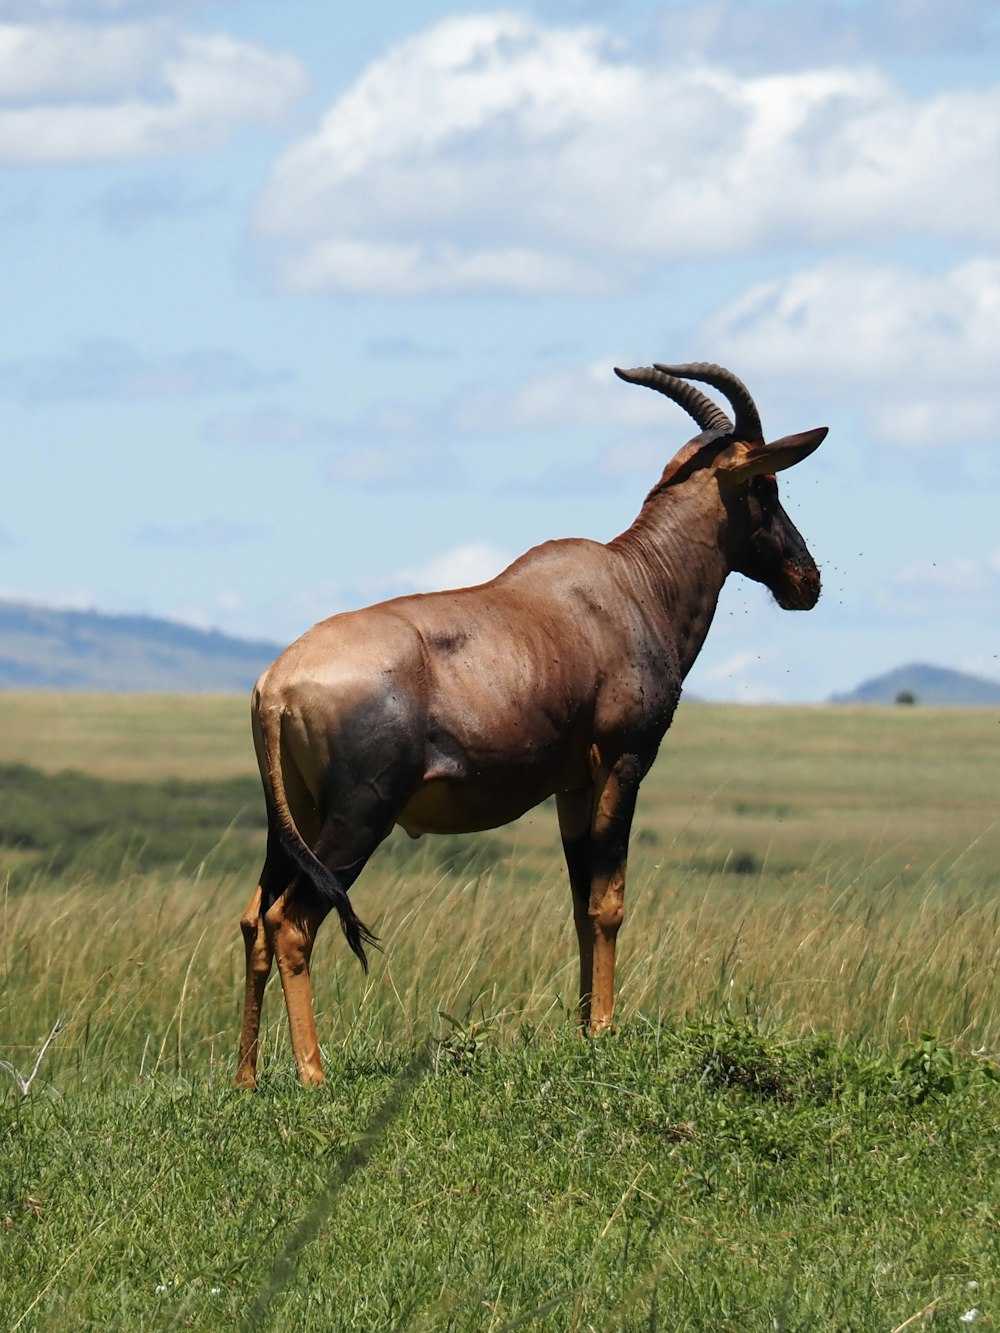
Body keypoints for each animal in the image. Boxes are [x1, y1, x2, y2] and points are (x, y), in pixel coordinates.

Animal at [237, 362, 832, 1082]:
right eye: (765, 483)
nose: (808, 581)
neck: (629, 585)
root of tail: (275, 685)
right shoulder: (624, 764)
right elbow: (610, 899)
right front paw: (604, 1029)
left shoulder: (573, 785)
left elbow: (581, 902)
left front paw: (582, 1029)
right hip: (358, 817)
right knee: (290, 921)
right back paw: (313, 1074)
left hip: (292, 819)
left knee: (252, 920)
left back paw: (245, 1079)